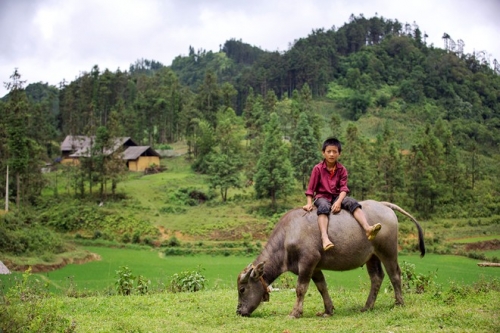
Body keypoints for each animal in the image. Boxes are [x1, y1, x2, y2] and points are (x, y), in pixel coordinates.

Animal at [236, 200, 424, 316]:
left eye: (242, 289)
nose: (239, 311)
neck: (288, 235)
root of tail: (383, 205)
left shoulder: (307, 262)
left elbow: (300, 289)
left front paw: (295, 312)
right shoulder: (315, 267)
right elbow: (322, 287)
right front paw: (328, 310)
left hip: (388, 251)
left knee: (395, 274)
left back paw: (399, 303)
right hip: (372, 256)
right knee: (377, 277)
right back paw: (367, 306)